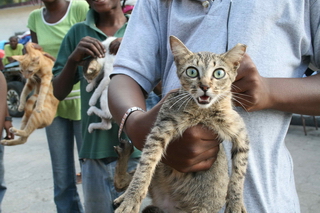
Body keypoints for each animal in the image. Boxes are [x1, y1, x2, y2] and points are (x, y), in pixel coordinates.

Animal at [113, 35, 250, 212]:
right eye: (192, 71)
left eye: (219, 73)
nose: (204, 86)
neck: (203, 112)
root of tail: (166, 205)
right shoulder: (161, 127)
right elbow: (144, 167)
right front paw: (130, 200)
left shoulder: (240, 133)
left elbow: (239, 174)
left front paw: (236, 204)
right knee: (122, 181)